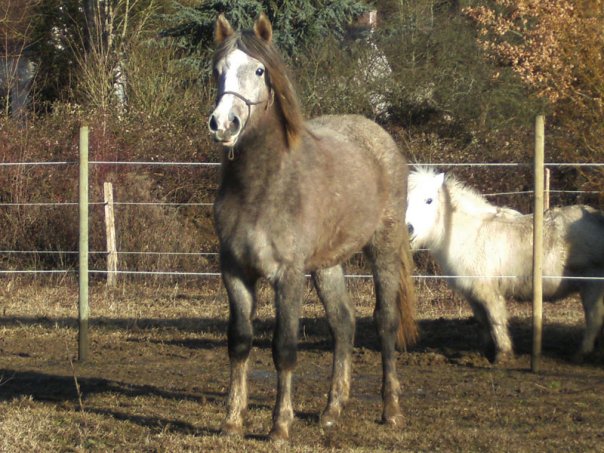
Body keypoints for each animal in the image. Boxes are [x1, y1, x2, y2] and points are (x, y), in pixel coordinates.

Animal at [208, 14, 418, 441]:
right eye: (217, 70)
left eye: (259, 70)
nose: (224, 124)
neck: (262, 187)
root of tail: (380, 137)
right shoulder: (234, 271)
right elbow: (239, 341)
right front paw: (232, 421)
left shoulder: (288, 275)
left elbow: (284, 348)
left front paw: (279, 426)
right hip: (327, 266)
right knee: (343, 324)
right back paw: (332, 410)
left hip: (383, 248)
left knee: (384, 323)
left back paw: (391, 410)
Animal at [406, 167, 604, 363]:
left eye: (429, 200)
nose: (408, 229)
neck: (468, 234)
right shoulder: (472, 294)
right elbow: (482, 322)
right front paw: (483, 352)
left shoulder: (489, 292)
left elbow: (496, 321)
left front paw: (503, 354)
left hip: (592, 286)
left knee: (594, 318)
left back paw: (582, 354)